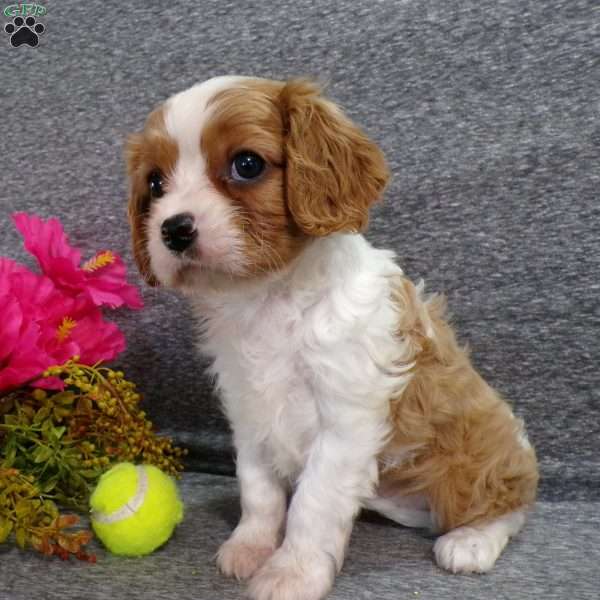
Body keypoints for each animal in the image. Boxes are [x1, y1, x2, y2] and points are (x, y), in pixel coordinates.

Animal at [126, 77, 540, 596]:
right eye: (155, 184)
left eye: (247, 164)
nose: (174, 229)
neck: (268, 298)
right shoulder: (248, 410)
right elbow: (258, 488)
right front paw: (251, 545)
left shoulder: (346, 421)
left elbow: (313, 503)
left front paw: (291, 572)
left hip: (476, 455)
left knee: (510, 500)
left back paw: (472, 540)